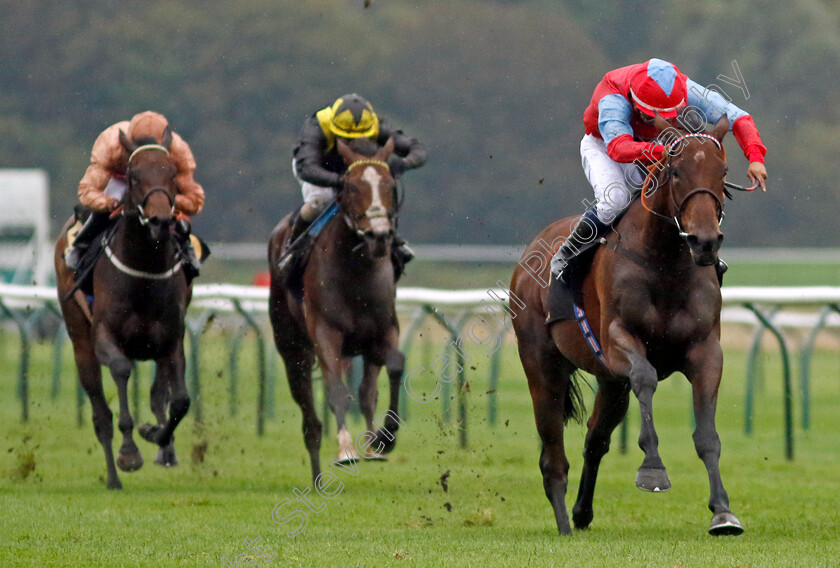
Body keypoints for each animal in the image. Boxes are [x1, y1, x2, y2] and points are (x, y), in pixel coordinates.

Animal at [55, 127, 192, 488]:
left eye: (172, 174)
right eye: (133, 175)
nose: (160, 220)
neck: (144, 271)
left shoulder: (172, 340)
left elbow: (180, 401)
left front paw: (156, 434)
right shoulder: (105, 336)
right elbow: (120, 370)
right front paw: (130, 452)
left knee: (159, 394)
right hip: (80, 342)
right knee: (100, 414)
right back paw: (114, 478)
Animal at [268, 135, 402, 482]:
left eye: (390, 185)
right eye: (352, 187)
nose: (380, 236)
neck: (356, 270)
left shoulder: (384, 330)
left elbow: (390, 373)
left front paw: (383, 439)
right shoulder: (326, 334)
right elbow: (336, 392)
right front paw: (345, 450)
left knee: (366, 391)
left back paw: (371, 445)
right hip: (291, 346)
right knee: (307, 404)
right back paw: (317, 469)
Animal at [508, 116, 744, 536]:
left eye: (723, 171)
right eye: (676, 172)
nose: (704, 241)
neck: (665, 261)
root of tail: (530, 255)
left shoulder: (705, 350)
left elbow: (707, 436)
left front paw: (722, 511)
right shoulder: (618, 340)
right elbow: (646, 377)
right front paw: (652, 470)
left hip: (610, 383)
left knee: (595, 439)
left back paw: (582, 513)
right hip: (542, 365)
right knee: (553, 455)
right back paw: (564, 525)